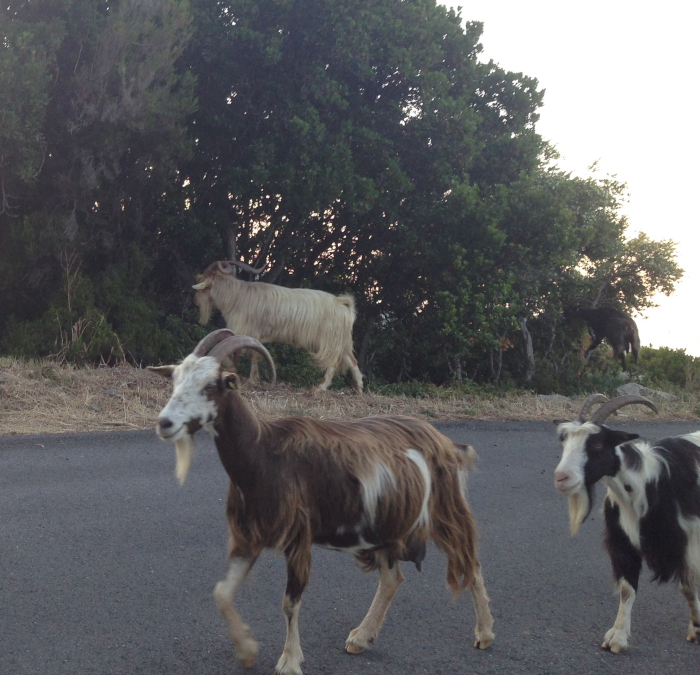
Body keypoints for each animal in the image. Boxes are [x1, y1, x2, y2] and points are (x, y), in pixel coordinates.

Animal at [150, 330, 494, 675]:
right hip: (386, 526)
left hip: (446, 509)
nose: (164, 424)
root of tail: (447, 442)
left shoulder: (298, 537)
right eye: (175, 380)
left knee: (472, 563)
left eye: (210, 386)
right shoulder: (249, 536)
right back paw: (361, 637)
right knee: (392, 578)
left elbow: (290, 603)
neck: (264, 454)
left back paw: (484, 634)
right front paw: (247, 649)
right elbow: (221, 593)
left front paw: (289, 661)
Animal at [194, 262, 364, 394]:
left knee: (333, 363)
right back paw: (358, 389)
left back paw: (319, 388)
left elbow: (252, 355)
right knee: (353, 361)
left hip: (330, 341)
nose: (195, 301)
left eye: (204, 280)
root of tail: (342, 303)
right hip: (342, 341)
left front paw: (251, 379)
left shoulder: (249, 331)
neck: (236, 296)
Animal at [556, 396, 696, 656]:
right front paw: (617, 637)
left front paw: (696, 627)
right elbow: (626, 590)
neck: (647, 484)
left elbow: (688, 587)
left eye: (598, 446)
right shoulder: (623, 543)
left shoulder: (688, 541)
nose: (561, 478)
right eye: (565, 444)